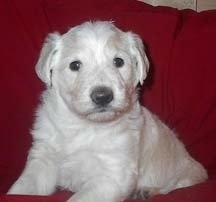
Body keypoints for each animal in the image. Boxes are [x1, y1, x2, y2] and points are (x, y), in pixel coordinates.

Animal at [8, 21, 208, 201]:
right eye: (75, 65)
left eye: (118, 61)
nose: (102, 96)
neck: (83, 126)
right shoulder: (43, 159)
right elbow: (22, 188)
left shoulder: (113, 175)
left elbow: (80, 198)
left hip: (186, 176)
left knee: (172, 187)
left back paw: (146, 191)